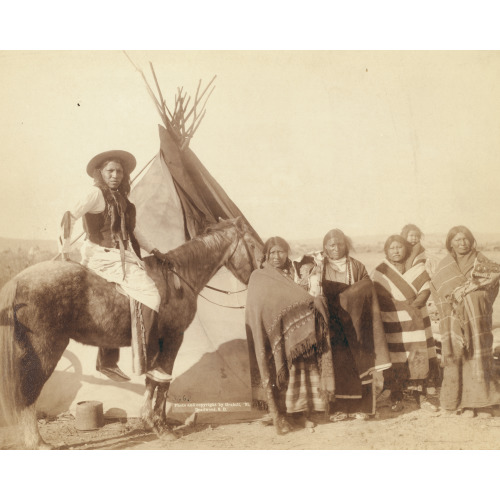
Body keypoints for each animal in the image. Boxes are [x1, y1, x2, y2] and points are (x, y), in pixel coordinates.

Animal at [0, 217, 264, 448]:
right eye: (252, 245)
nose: (260, 272)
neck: (178, 279)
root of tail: (18, 280)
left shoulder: (156, 343)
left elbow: (153, 379)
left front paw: (152, 421)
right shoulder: (173, 338)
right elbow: (163, 380)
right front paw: (162, 427)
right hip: (46, 350)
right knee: (29, 390)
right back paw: (37, 442)